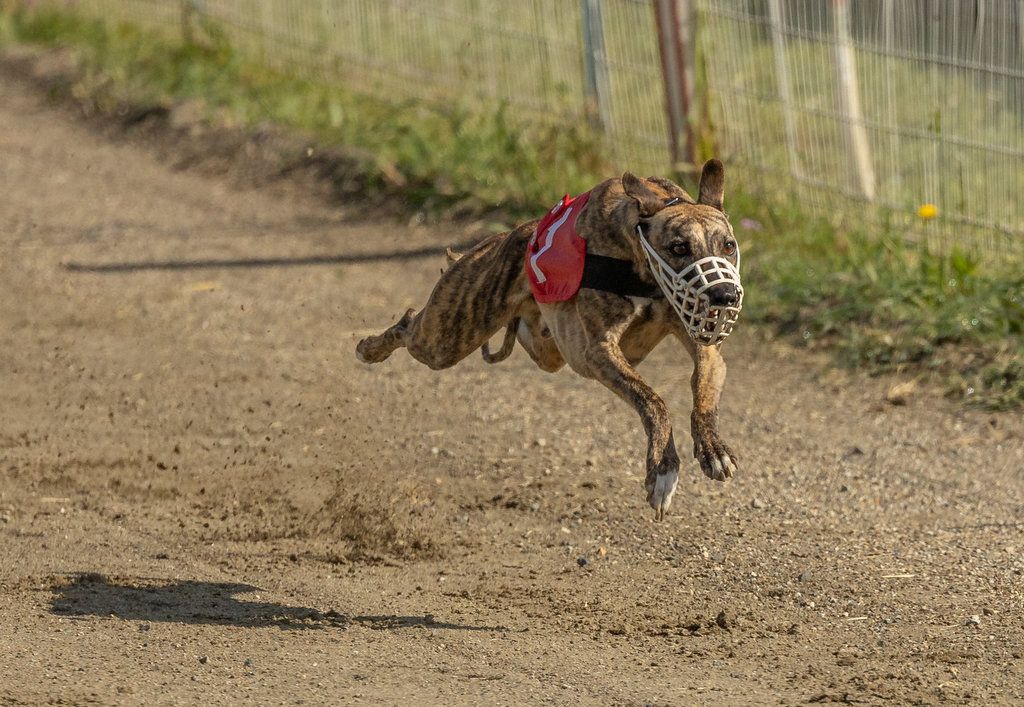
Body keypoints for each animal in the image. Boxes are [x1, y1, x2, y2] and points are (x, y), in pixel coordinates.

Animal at [358, 159, 737, 518]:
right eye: (679, 247)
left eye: (729, 245)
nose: (725, 295)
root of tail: (504, 238)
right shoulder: (599, 352)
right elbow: (653, 400)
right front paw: (662, 471)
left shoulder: (703, 343)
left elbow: (703, 391)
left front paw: (713, 449)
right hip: (447, 336)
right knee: (410, 324)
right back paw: (369, 348)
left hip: (546, 348)